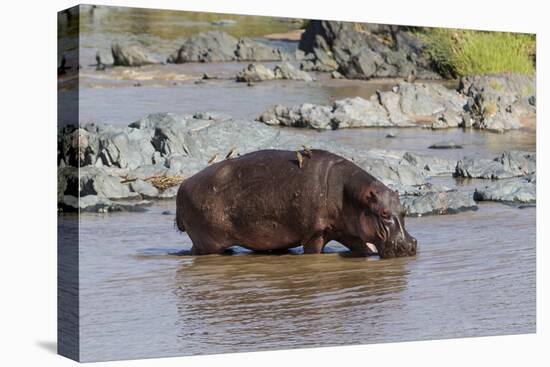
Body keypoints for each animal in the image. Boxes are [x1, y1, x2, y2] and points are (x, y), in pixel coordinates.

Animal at [177, 150, 418, 258]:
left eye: (404, 210)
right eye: (384, 213)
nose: (409, 245)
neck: (350, 195)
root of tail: (183, 184)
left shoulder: (348, 232)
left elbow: (364, 248)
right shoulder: (315, 233)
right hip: (207, 243)